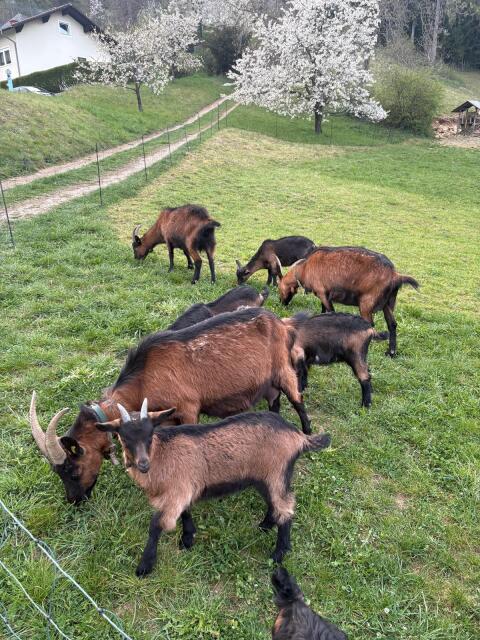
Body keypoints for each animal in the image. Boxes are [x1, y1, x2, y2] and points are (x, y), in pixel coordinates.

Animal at [30, 308, 311, 505]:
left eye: (73, 471)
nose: (74, 500)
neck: (144, 378)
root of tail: (282, 323)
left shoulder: (188, 408)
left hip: (283, 369)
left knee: (297, 400)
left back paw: (306, 433)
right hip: (267, 382)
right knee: (274, 402)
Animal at [96, 402, 331, 576]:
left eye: (150, 434)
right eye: (124, 437)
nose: (143, 464)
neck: (162, 454)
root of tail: (298, 436)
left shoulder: (176, 493)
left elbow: (156, 525)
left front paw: (145, 566)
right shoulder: (185, 488)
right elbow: (186, 511)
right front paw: (188, 539)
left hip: (277, 473)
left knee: (286, 510)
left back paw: (277, 555)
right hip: (264, 478)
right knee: (274, 504)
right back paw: (264, 526)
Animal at [278, 246, 419, 357]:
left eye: (280, 289)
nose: (281, 304)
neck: (304, 268)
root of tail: (395, 275)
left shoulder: (323, 293)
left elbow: (330, 311)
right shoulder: (324, 294)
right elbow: (323, 310)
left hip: (366, 304)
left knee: (370, 324)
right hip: (387, 305)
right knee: (392, 325)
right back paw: (391, 352)